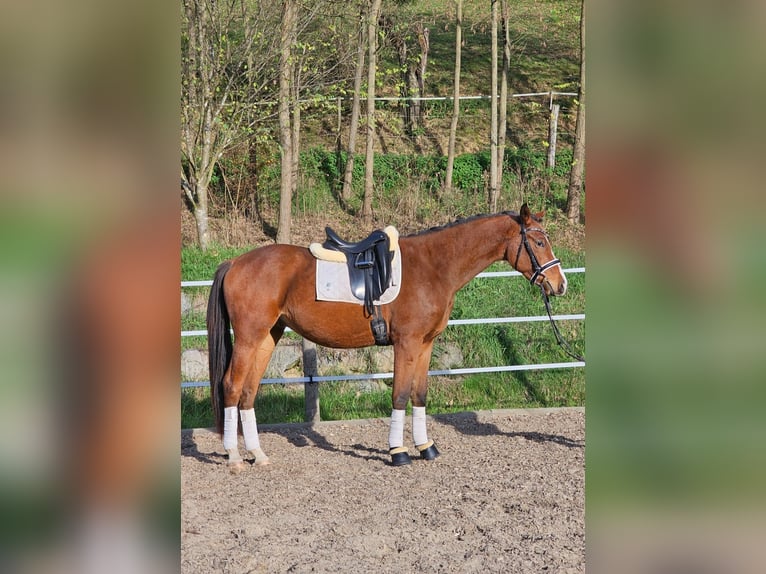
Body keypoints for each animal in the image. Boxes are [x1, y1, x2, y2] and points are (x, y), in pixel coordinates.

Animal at [207, 204, 568, 472]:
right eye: (539, 243)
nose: (560, 284)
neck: (434, 266)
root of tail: (235, 262)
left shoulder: (425, 344)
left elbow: (419, 394)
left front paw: (426, 447)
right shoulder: (406, 343)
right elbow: (399, 395)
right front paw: (399, 451)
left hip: (269, 336)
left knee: (249, 391)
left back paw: (258, 454)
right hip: (250, 338)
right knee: (232, 386)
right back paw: (235, 457)